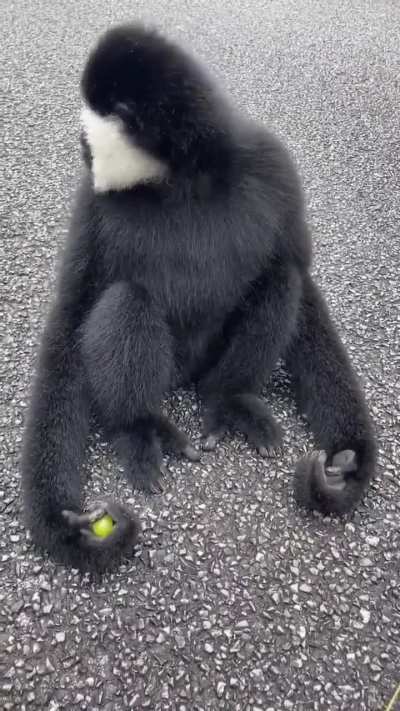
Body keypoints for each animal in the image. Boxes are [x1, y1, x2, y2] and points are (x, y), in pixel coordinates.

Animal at [21, 23, 376, 571]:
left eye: (92, 134)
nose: (81, 144)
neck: (180, 180)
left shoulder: (272, 162)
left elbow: (301, 276)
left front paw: (349, 463)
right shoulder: (92, 198)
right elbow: (72, 314)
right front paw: (66, 525)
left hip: (212, 363)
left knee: (280, 276)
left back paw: (229, 399)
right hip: (168, 369)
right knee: (127, 299)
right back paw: (141, 428)